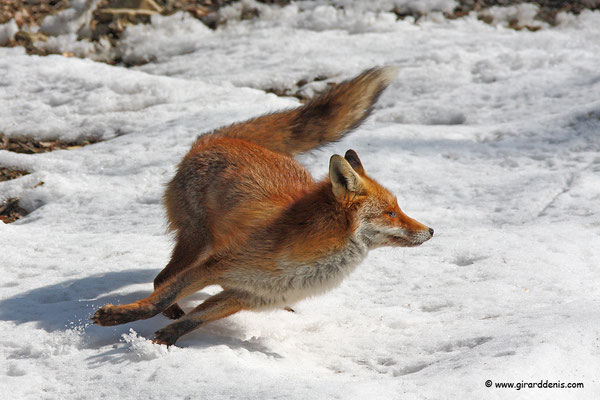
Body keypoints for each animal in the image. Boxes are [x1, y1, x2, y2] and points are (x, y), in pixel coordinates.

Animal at [91, 67, 434, 346]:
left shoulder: (247, 295)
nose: (431, 230)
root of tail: (216, 139)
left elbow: (195, 319)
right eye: (391, 212)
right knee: (161, 280)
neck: (302, 265)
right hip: (196, 244)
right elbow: (159, 302)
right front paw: (117, 318)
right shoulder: (216, 266)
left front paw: (165, 340)